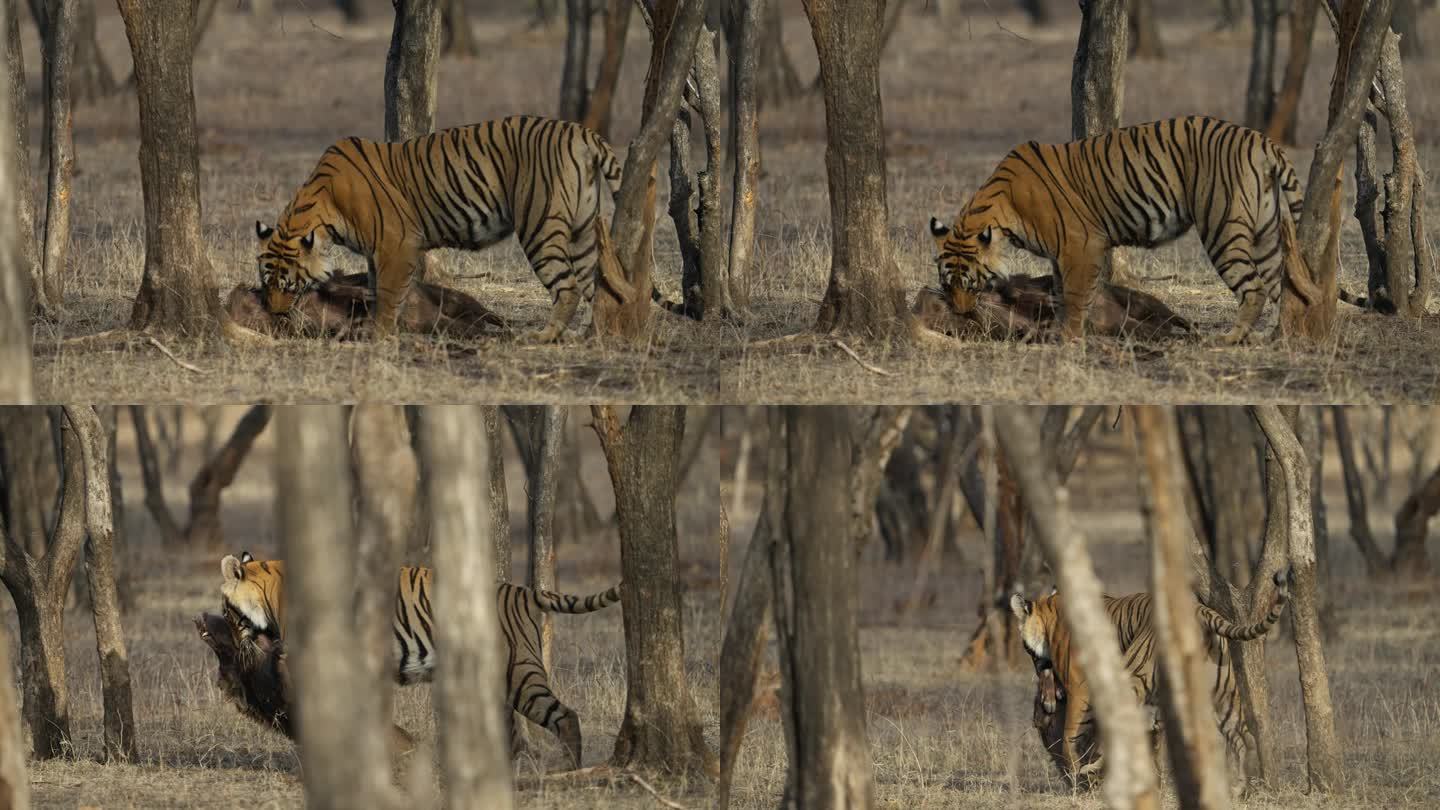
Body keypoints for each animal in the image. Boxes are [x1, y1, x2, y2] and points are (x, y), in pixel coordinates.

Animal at [218, 547, 619, 760]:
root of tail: (521, 590)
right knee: (517, 734)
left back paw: (570, 768)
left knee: (566, 716)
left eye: (226, 610)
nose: (233, 639)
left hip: (520, 675)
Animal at [254, 114, 673, 340]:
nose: (273, 314)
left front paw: (381, 332)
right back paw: (589, 336)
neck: (319, 212)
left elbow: (388, 293)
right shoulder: (377, 252)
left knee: (567, 286)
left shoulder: (395, 243)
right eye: (266, 283)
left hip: (540, 226)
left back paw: (544, 337)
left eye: (287, 285)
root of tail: (579, 131)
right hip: (584, 228)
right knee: (593, 284)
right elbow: (377, 288)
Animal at [933, 115, 1319, 341]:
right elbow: (1059, 291)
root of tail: (1259, 139)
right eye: (947, 284)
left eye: (969, 283)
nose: (961, 314)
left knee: (1253, 288)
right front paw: (1061, 329)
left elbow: (1075, 294)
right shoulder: (1061, 254)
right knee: (1279, 284)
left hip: (1222, 227)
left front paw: (1068, 337)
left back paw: (1229, 339)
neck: (1000, 214)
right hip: (1265, 233)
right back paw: (1275, 337)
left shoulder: (1081, 245)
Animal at [1013, 567, 1296, 789]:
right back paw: (1240, 787)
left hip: (1132, 675)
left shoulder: (1080, 688)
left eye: (1025, 649)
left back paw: (1092, 769)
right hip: (1223, 694)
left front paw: (1079, 776)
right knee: (1243, 736)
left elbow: (1071, 737)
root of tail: (1199, 609)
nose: (1037, 668)